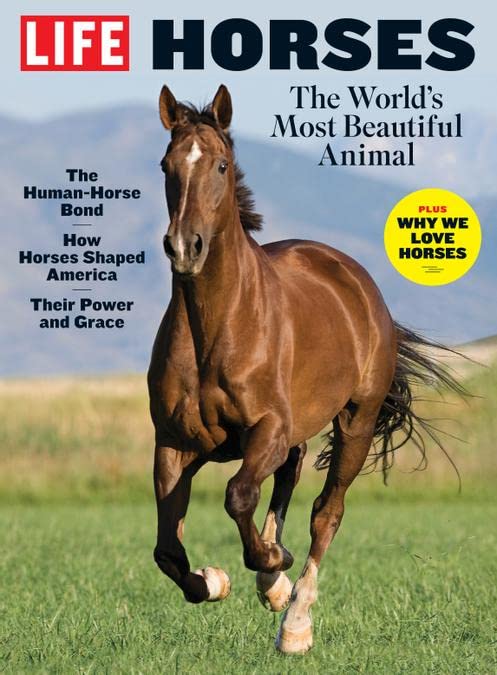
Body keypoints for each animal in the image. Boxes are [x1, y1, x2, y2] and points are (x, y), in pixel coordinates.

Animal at [147, 84, 462, 654]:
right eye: (166, 165)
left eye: (221, 165)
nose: (185, 247)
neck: (216, 330)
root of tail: (355, 280)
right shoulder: (174, 444)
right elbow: (168, 551)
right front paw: (218, 581)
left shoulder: (267, 430)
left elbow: (239, 496)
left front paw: (274, 574)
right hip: (282, 438)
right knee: (287, 482)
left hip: (355, 423)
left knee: (325, 512)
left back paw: (294, 620)